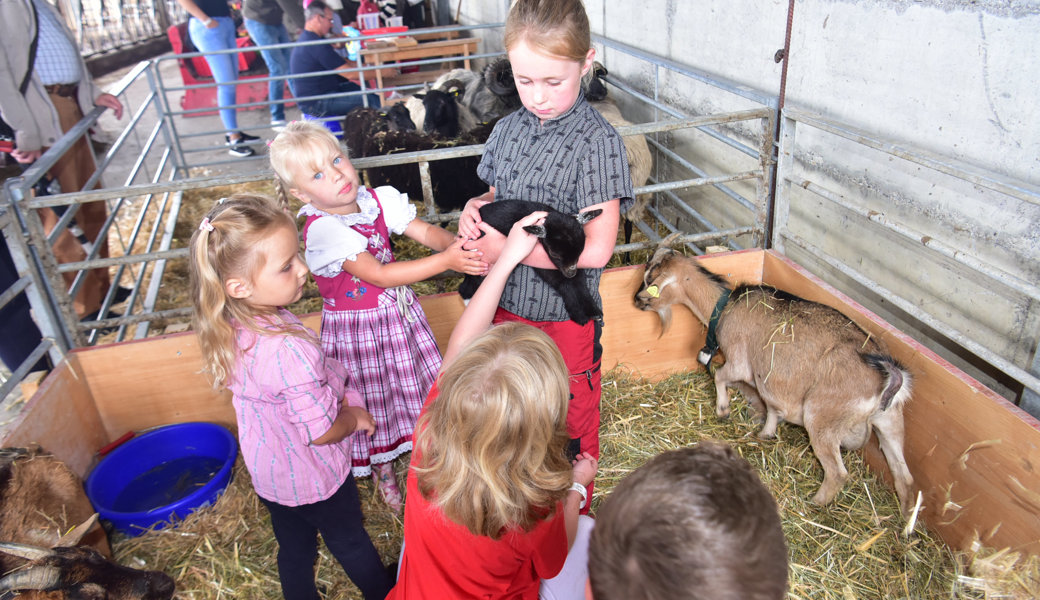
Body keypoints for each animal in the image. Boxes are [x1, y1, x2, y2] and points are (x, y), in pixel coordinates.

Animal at [455, 199, 603, 322]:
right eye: (554, 254)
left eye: (581, 250)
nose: (570, 273)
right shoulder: (544, 262)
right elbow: (561, 282)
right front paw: (579, 314)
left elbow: (579, 280)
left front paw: (593, 312)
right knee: (467, 287)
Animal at [636, 236, 915, 517]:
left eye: (650, 279)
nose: (635, 299)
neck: (725, 306)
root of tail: (888, 375)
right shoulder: (768, 381)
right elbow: (772, 406)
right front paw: (766, 433)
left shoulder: (739, 362)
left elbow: (720, 376)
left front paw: (723, 410)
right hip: (890, 421)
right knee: (904, 477)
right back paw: (905, 521)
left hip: (821, 419)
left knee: (837, 473)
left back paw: (813, 504)